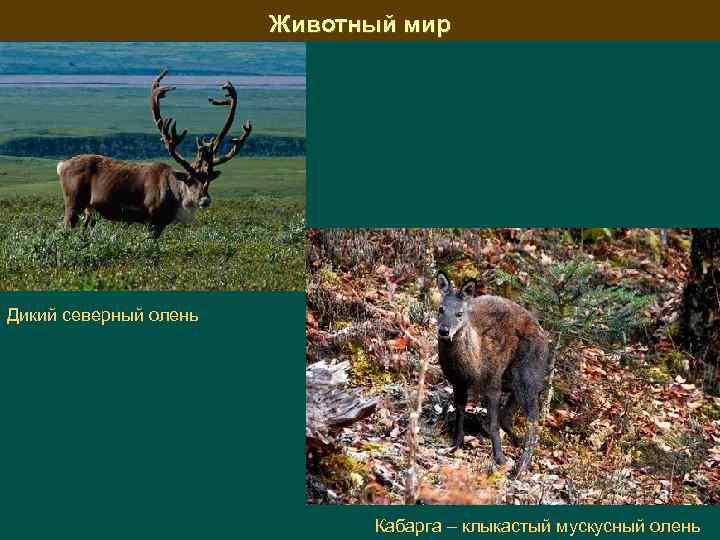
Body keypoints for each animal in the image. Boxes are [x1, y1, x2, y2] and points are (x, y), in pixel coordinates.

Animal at [57, 69, 252, 238]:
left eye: (208, 179)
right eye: (189, 180)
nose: (204, 200)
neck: (176, 194)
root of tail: (61, 165)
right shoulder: (154, 220)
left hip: (90, 210)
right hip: (73, 202)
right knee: (64, 227)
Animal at [435, 272, 549, 477]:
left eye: (459, 313)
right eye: (441, 308)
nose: (444, 331)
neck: (473, 366)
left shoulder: (492, 382)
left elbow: (493, 423)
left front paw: (500, 459)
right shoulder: (457, 382)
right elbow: (460, 411)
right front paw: (457, 444)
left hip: (528, 370)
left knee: (532, 416)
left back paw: (521, 467)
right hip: (512, 379)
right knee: (510, 413)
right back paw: (516, 443)